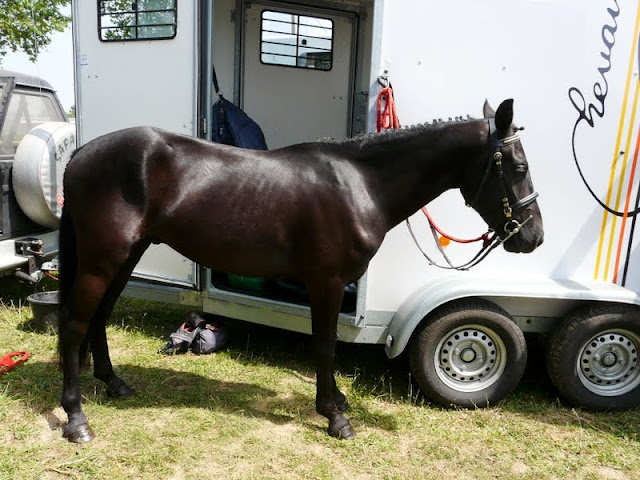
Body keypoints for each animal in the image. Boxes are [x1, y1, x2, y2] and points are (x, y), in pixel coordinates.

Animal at [57, 99, 543, 443]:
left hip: (128, 255)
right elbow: (326, 347)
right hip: (103, 258)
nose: (533, 236)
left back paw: (113, 383)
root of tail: (82, 152)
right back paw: (76, 419)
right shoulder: (327, 282)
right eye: (519, 166)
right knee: (76, 324)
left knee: (99, 317)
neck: (360, 183)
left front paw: (338, 402)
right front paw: (335, 416)